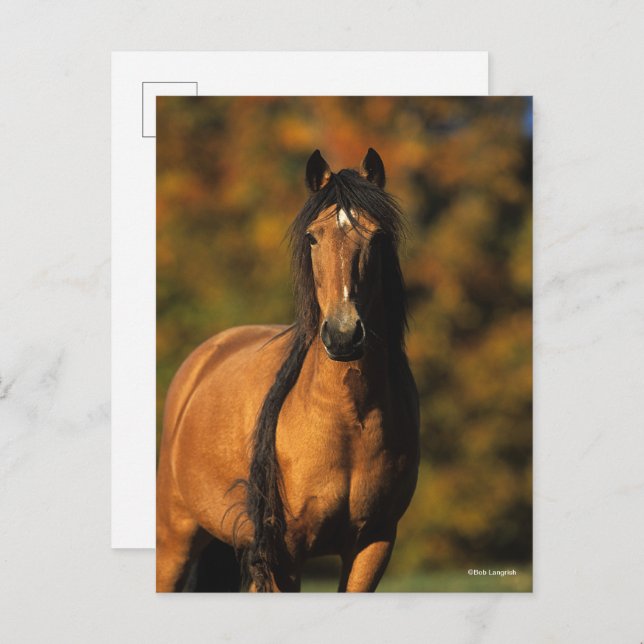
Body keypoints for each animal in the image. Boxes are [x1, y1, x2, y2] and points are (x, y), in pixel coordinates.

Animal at [156, 148, 420, 592]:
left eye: (378, 237)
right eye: (313, 237)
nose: (344, 335)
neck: (348, 419)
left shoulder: (374, 544)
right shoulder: (286, 554)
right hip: (176, 538)